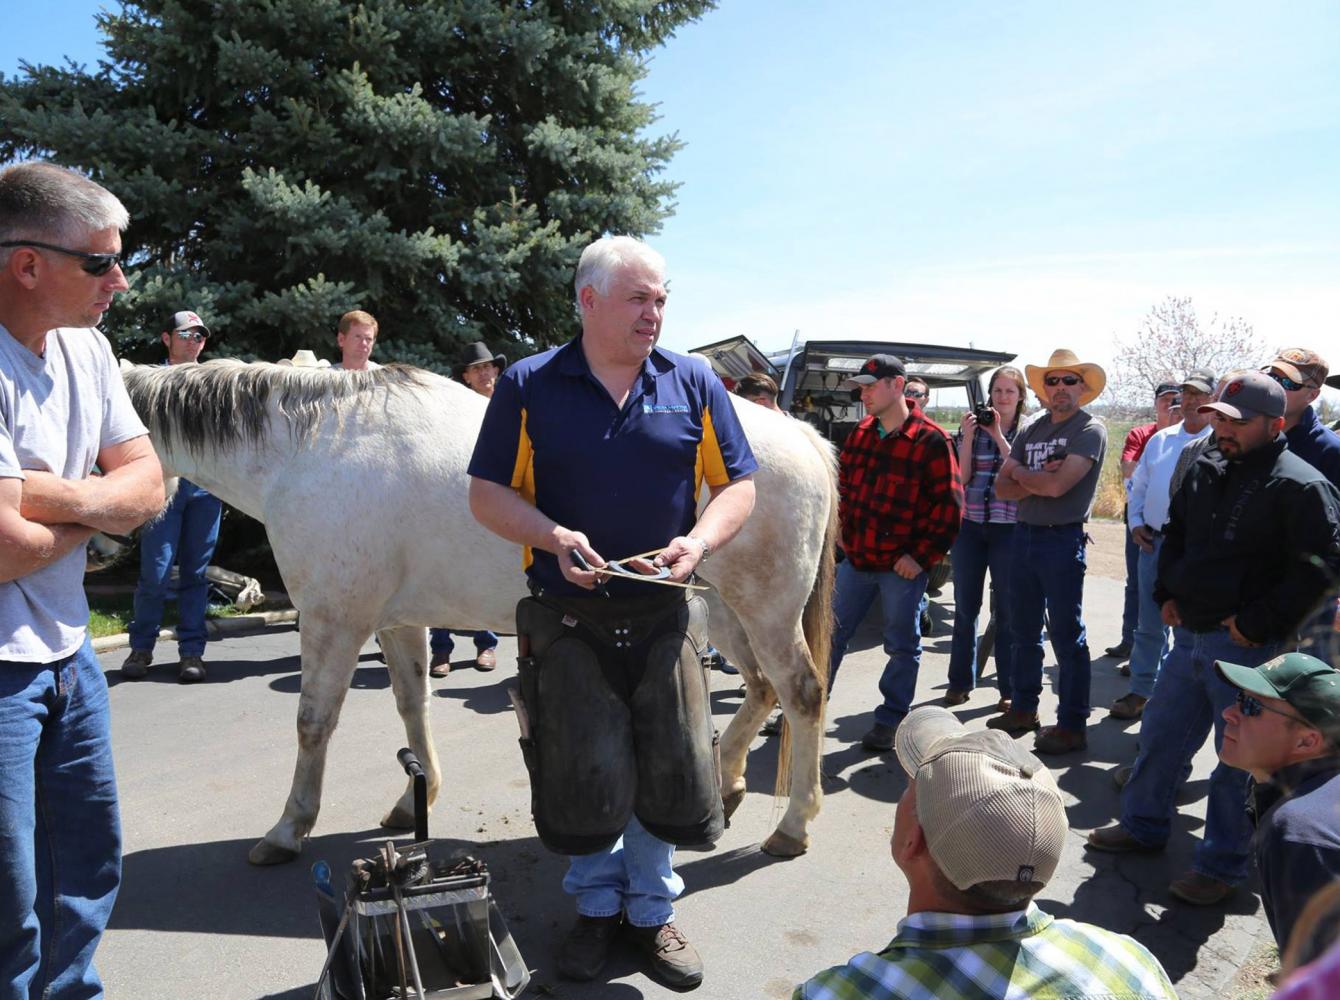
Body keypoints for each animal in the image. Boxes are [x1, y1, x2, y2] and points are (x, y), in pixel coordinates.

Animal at [125, 359, 836, 863]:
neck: (312, 449)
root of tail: (801, 435)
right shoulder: (397, 623)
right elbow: (413, 706)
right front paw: (413, 800)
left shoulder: (333, 620)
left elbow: (312, 724)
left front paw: (288, 827)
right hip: (721, 610)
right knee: (761, 687)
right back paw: (729, 781)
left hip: (765, 610)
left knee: (801, 693)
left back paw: (793, 826)